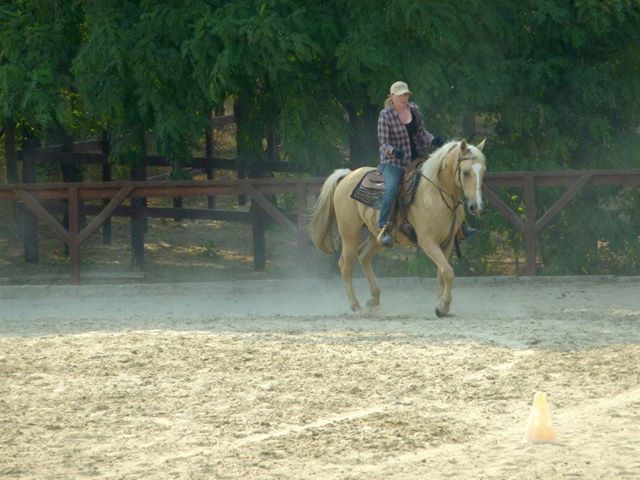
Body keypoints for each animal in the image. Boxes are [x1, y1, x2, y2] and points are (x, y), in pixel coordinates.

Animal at [308, 139, 488, 316]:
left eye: (483, 171)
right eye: (465, 172)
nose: (477, 206)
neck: (434, 194)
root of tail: (347, 175)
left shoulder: (448, 241)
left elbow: (442, 273)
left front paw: (440, 305)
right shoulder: (427, 241)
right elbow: (448, 272)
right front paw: (443, 307)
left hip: (377, 236)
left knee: (364, 256)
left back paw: (373, 300)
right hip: (350, 233)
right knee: (346, 265)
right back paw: (356, 306)